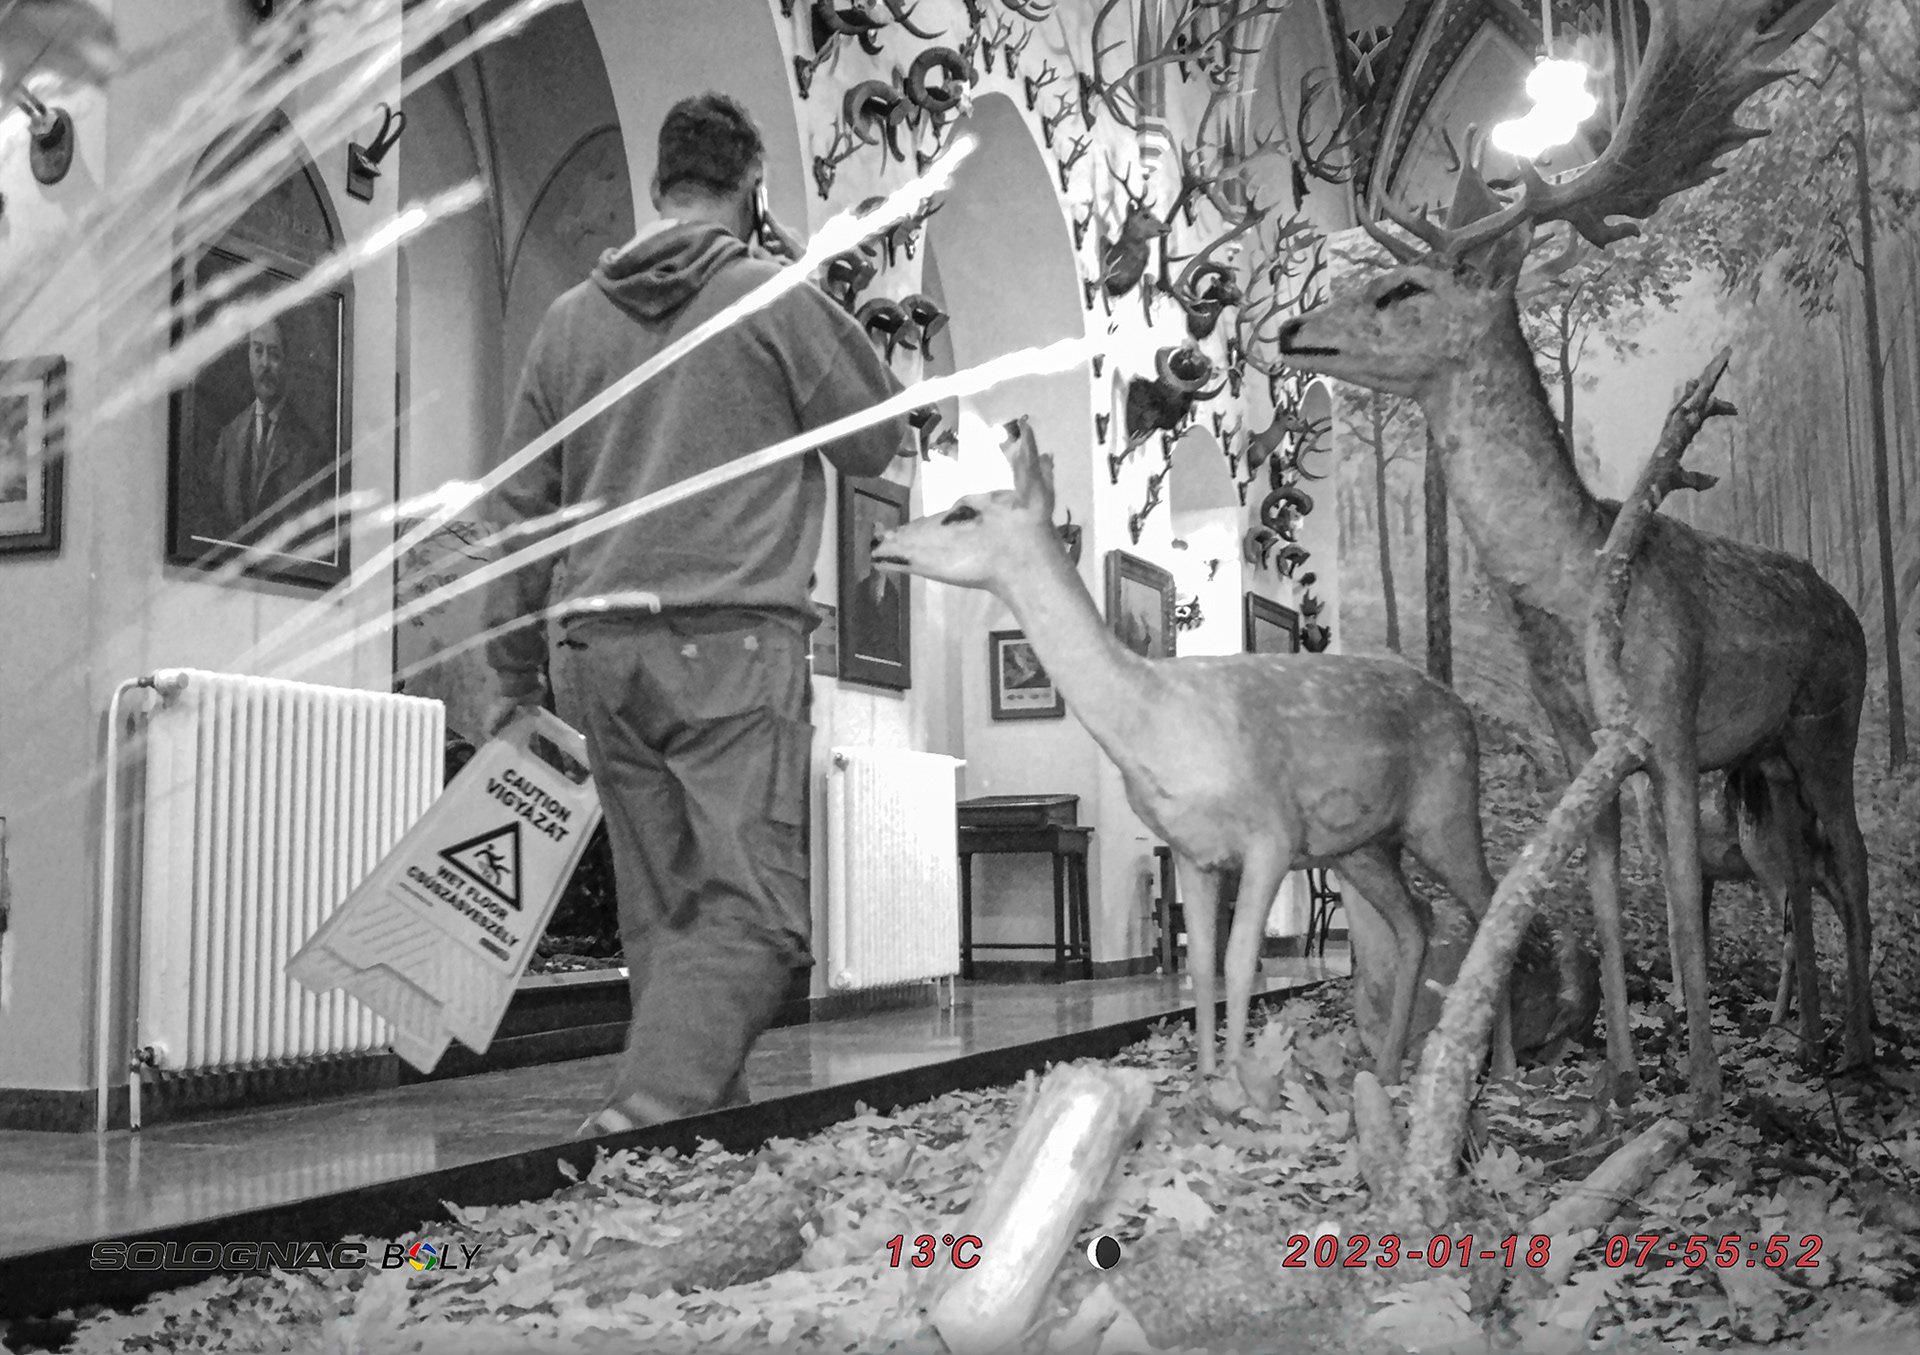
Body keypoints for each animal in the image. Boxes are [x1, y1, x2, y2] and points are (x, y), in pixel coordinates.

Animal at [870, 419, 1524, 1093]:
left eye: (964, 510)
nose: (879, 537)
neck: (1154, 724)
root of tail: (1464, 711)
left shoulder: (1272, 833)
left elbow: (1238, 961)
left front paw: (1238, 1088)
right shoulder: (1192, 851)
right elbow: (1203, 965)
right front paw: (1206, 1080)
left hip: (1444, 808)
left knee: (1492, 906)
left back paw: (1502, 1069)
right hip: (1362, 847)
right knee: (1416, 920)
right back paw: (1392, 1066)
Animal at [1270, 0, 1871, 1110]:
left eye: (1402, 288)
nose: (1291, 328)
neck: (1575, 576)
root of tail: (1845, 605)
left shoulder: (1667, 719)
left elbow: (1679, 900)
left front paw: (1702, 1089)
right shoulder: (1573, 737)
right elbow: (1597, 896)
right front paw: (1620, 1080)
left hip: (1831, 714)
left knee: (1850, 859)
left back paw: (1855, 1046)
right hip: (1764, 758)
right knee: (1801, 876)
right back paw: (1808, 1040)